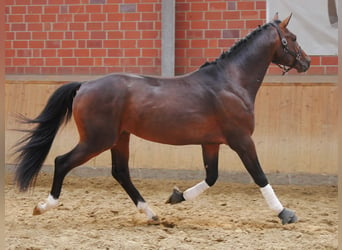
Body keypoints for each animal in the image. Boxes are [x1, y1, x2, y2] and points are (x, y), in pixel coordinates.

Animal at [14, 13, 310, 225]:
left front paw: (176, 196)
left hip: (119, 138)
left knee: (120, 172)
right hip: (97, 140)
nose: (306, 62)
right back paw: (43, 206)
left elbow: (212, 177)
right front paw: (285, 213)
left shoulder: (211, 143)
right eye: (293, 37)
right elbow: (259, 175)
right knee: (62, 162)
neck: (231, 82)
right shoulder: (242, 140)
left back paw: (151, 213)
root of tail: (84, 85)